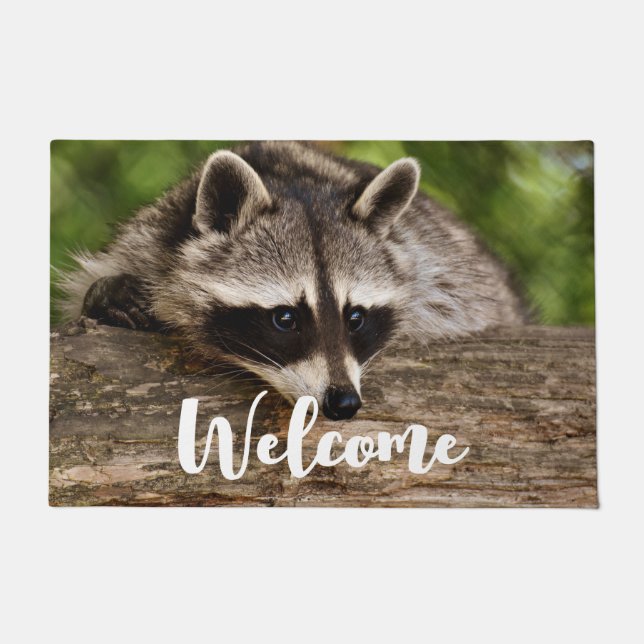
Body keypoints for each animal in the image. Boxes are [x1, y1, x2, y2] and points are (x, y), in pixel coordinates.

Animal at [59, 141, 525, 420]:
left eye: (355, 317)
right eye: (285, 318)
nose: (344, 403)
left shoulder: (438, 267)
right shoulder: (148, 238)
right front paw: (106, 295)